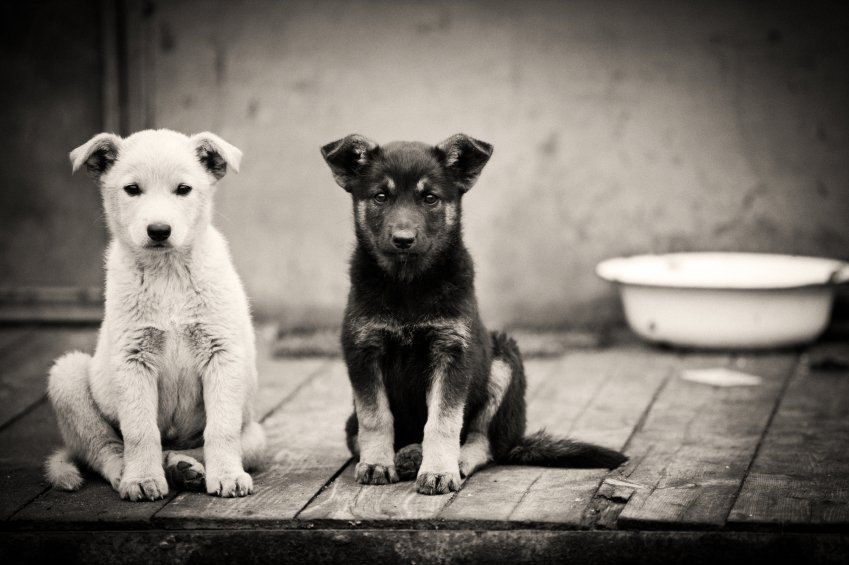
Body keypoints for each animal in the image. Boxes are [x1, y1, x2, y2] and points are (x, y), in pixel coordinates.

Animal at [45, 128, 264, 498]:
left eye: (183, 189)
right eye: (132, 189)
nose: (159, 230)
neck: (168, 274)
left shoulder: (222, 353)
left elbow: (220, 429)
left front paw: (227, 475)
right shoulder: (131, 358)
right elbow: (139, 430)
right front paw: (143, 478)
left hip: (255, 433)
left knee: (198, 446)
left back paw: (183, 468)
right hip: (67, 375)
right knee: (105, 448)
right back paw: (133, 473)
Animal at [318, 132, 624, 494]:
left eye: (430, 198)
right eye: (381, 196)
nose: (403, 240)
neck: (408, 284)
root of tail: (515, 438)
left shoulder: (453, 352)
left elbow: (443, 420)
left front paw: (439, 470)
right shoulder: (363, 350)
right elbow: (375, 416)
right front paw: (377, 463)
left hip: (504, 360)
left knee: (484, 441)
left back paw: (455, 460)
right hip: (351, 421)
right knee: (361, 434)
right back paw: (407, 454)